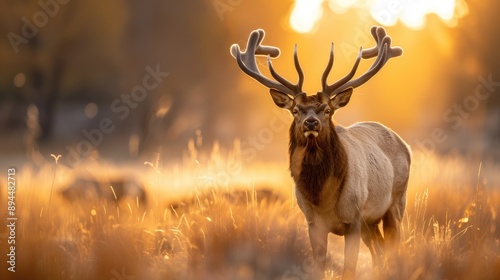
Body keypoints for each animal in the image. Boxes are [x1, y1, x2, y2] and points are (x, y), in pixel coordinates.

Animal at [230, 26, 410, 278]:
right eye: (296, 110)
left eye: (327, 110)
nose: (311, 122)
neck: (323, 197)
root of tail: (405, 144)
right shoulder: (313, 223)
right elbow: (319, 268)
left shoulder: (354, 218)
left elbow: (349, 269)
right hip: (371, 222)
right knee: (379, 251)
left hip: (396, 204)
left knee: (393, 247)